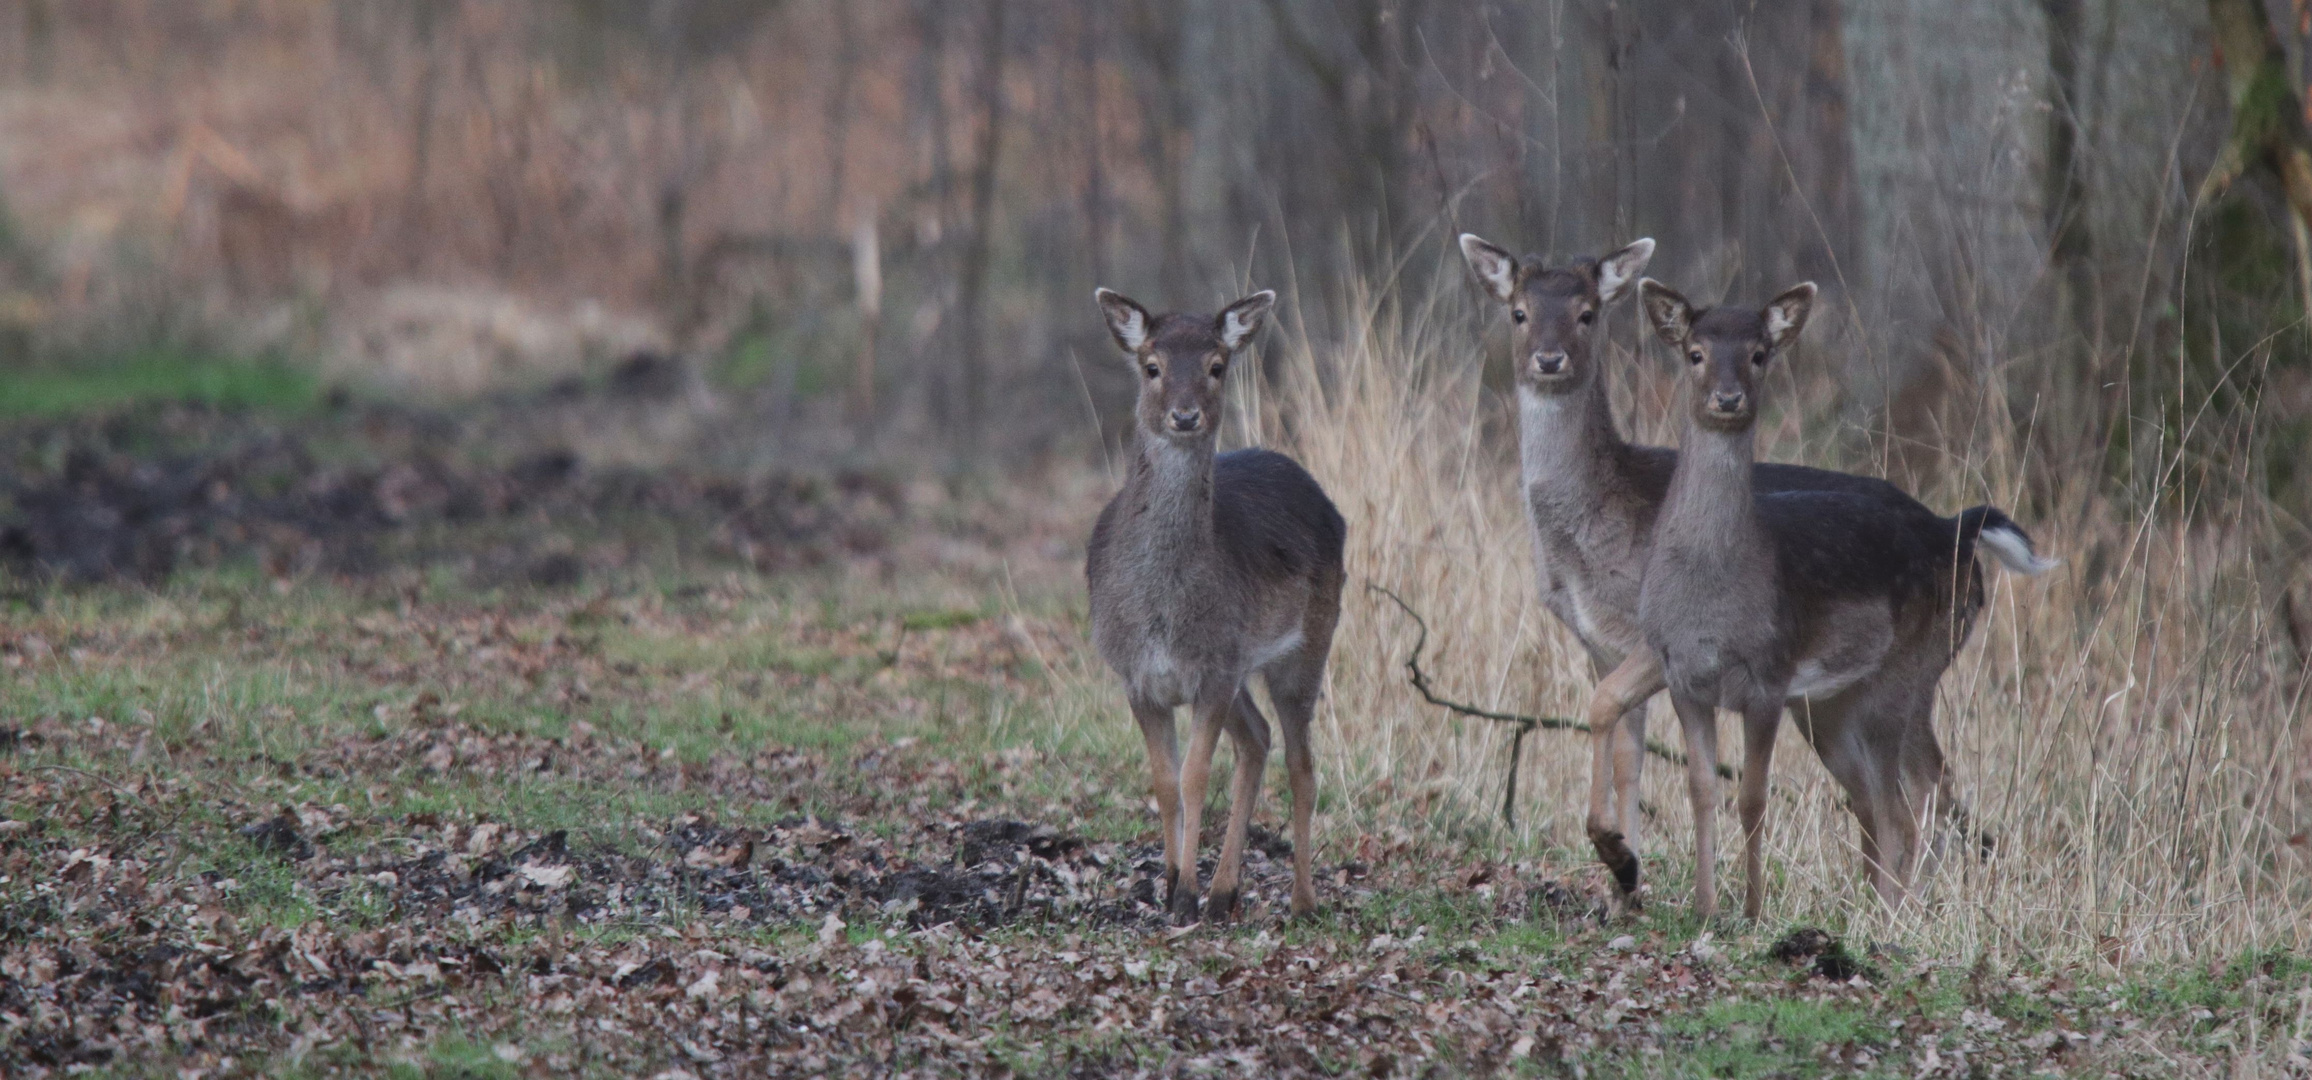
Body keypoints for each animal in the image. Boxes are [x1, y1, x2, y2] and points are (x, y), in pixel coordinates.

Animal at [1086, 285, 1350, 920]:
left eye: (1216, 365)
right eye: (1151, 366)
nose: (1185, 415)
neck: (1162, 610)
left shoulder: (1212, 669)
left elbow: (1194, 776)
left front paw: (1184, 892)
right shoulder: (1137, 676)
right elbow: (1164, 780)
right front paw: (1170, 883)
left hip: (1305, 644)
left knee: (1302, 763)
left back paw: (1301, 899)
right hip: (1241, 668)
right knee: (1258, 739)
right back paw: (1226, 891)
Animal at [1451, 237, 1942, 906]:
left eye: (1586, 313)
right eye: (1519, 312)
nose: (1549, 360)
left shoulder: (1651, 640)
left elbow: (1605, 710)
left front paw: (1620, 856)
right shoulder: (1600, 644)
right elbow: (1628, 752)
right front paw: (1625, 880)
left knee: (1922, 778)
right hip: (1829, 698)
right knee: (1888, 784)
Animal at [1572, 278, 2062, 920]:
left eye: (1759, 353)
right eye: (1695, 352)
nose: (1728, 398)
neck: (1709, 598)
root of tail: (1958, 529)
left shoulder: (1768, 675)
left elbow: (1752, 795)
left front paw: (1752, 910)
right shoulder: (1684, 676)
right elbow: (1701, 787)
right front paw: (1703, 904)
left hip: (1908, 671)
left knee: (1906, 797)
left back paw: (1895, 910)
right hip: (1836, 703)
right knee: (1891, 792)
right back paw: (1886, 902)